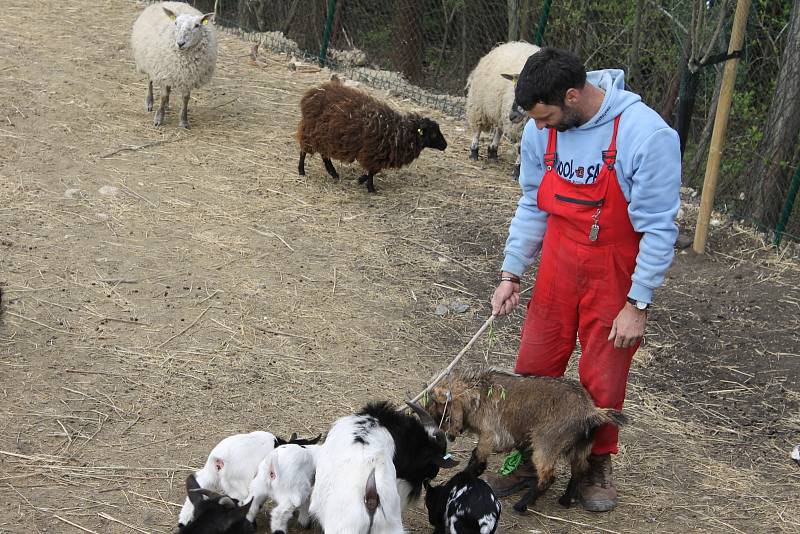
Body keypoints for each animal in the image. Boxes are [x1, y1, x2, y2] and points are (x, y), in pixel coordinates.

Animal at [296, 75, 446, 193]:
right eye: (433, 134)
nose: (445, 145)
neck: (399, 133)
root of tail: (312, 93)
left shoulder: (378, 154)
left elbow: (373, 171)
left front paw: (361, 180)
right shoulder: (373, 152)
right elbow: (373, 171)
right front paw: (370, 188)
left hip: (323, 134)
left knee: (324, 154)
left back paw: (333, 173)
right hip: (310, 131)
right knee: (304, 151)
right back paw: (302, 171)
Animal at [422, 368, 628, 516]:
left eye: (440, 414)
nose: (443, 436)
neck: (479, 393)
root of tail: (590, 411)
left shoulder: (489, 434)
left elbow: (477, 459)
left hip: (546, 442)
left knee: (548, 476)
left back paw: (522, 505)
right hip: (581, 446)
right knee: (580, 470)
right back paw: (565, 500)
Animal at [466, 40, 540, 178]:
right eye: (516, 89)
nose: (513, 116)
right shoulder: (519, 126)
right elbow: (521, 148)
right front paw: (517, 171)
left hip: (499, 109)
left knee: (498, 130)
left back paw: (492, 152)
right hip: (479, 105)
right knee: (477, 130)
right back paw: (474, 152)